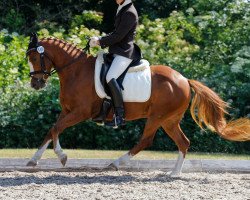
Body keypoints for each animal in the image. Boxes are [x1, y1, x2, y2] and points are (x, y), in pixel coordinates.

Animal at [25, 34, 250, 175]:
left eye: (35, 57)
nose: (36, 84)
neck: (76, 70)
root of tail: (185, 80)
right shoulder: (67, 110)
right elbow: (51, 130)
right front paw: (33, 160)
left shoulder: (80, 112)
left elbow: (56, 129)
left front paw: (62, 156)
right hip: (169, 120)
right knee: (183, 142)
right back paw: (174, 174)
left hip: (157, 117)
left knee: (146, 140)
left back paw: (117, 163)